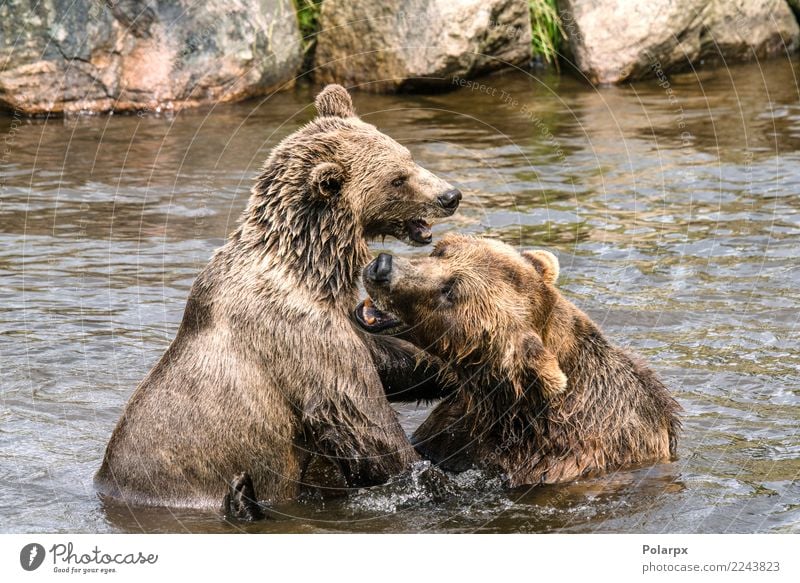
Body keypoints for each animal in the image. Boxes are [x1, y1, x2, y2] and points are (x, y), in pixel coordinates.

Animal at [97, 83, 462, 516]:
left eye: (407, 156)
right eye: (397, 179)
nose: (450, 195)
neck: (313, 270)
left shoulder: (336, 321)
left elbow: (385, 357)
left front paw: (447, 369)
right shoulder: (298, 336)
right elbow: (361, 418)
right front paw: (431, 477)